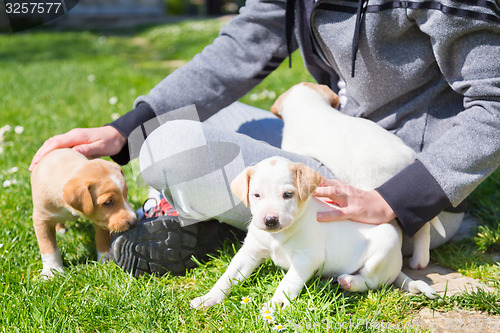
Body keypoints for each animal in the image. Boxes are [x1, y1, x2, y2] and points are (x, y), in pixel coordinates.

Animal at [189, 157, 436, 308]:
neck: (279, 236)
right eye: (256, 195)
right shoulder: (250, 252)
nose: (270, 220)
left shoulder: (306, 259)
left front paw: (276, 305)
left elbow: (288, 283)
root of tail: (397, 266)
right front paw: (208, 298)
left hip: (386, 244)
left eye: (288, 194)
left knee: (372, 281)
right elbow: (227, 277)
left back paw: (350, 282)